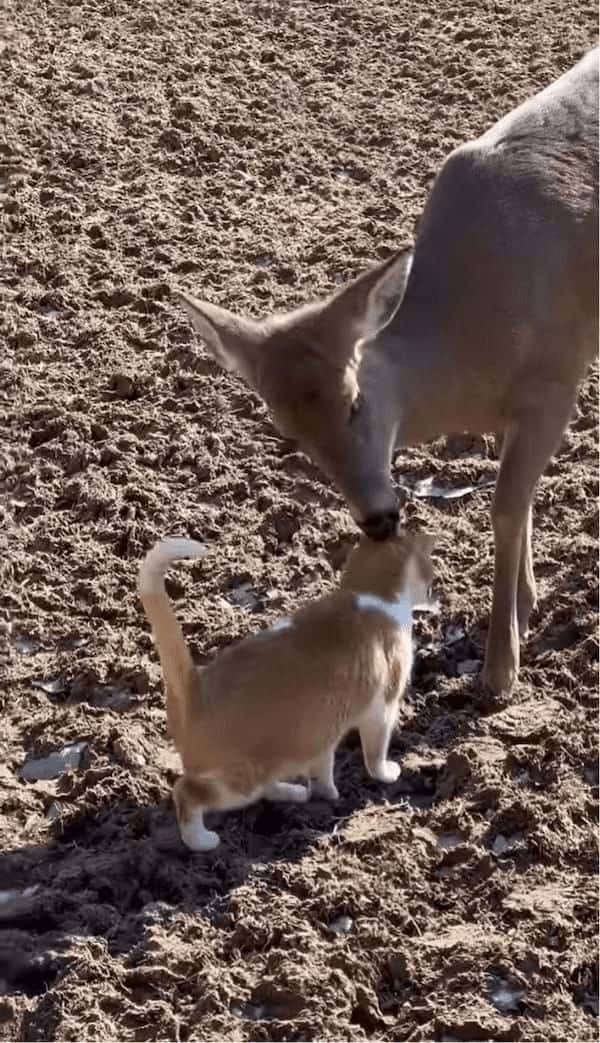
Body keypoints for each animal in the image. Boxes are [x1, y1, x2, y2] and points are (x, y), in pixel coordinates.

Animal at [138, 529, 434, 846]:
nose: (437, 594)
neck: (368, 592)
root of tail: (195, 690)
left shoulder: (323, 732)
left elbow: (322, 768)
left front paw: (327, 794)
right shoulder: (381, 711)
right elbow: (375, 755)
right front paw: (386, 774)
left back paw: (292, 792)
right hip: (242, 777)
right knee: (187, 792)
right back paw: (201, 840)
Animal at [176, 50, 596, 700]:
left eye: (355, 400)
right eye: (287, 434)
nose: (377, 518)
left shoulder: (555, 377)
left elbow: (505, 507)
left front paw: (500, 670)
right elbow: (520, 501)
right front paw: (525, 608)